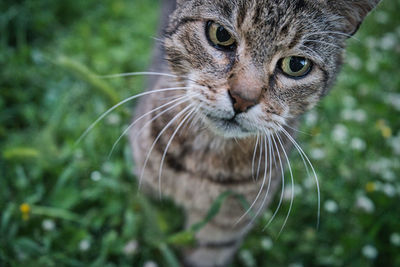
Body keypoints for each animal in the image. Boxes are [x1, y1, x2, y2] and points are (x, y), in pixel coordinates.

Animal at [129, 1, 382, 266]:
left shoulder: (224, 230)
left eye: (296, 65)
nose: (243, 99)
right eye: (221, 35)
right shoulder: (148, 191)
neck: (204, 163)